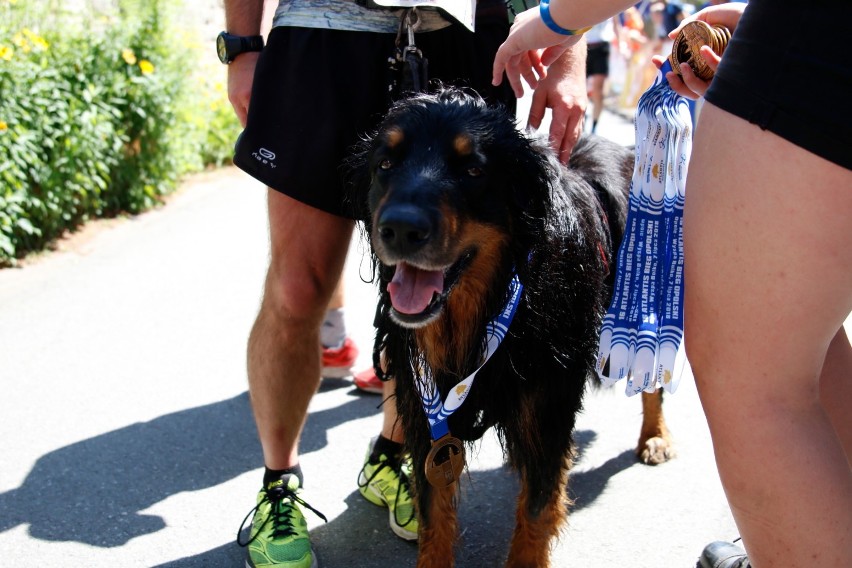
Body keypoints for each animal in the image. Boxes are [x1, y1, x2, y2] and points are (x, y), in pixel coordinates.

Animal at [346, 89, 672, 568]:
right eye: (386, 163)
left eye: (473, 170)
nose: (400, 229)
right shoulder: (426, 419)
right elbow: (434, 518)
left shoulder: (547, 408)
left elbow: (536, 513)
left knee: (653, 380)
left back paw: (655, 436)